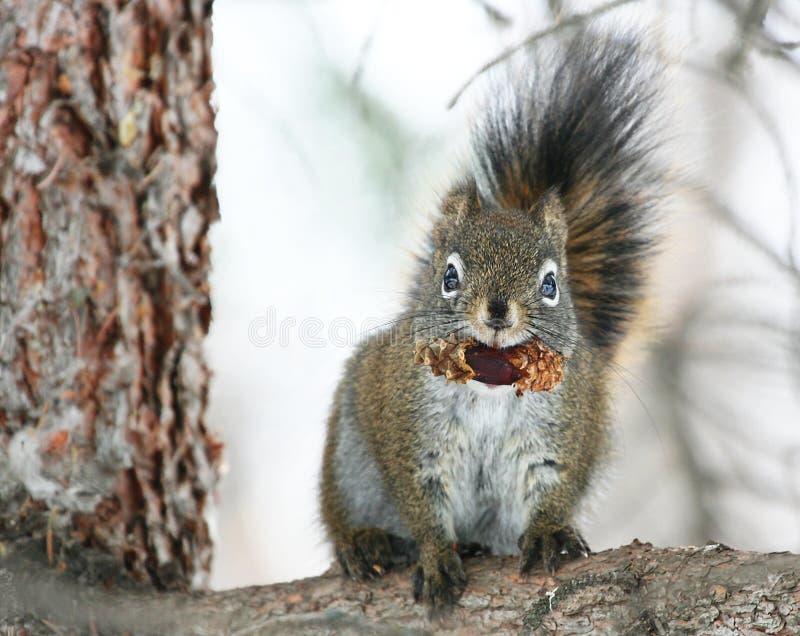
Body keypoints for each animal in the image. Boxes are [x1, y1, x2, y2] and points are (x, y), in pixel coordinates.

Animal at [318, 29, 664, 612]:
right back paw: (363, 541)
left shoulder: (566, 428)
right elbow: (419, 501)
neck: (492, 376)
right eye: (449, 276)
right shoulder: (409, 430)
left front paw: (547, 533)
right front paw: (436, 553)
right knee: (346, 510)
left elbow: (554, 486)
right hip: (349, 461)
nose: (499, 311)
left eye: (551, 284)